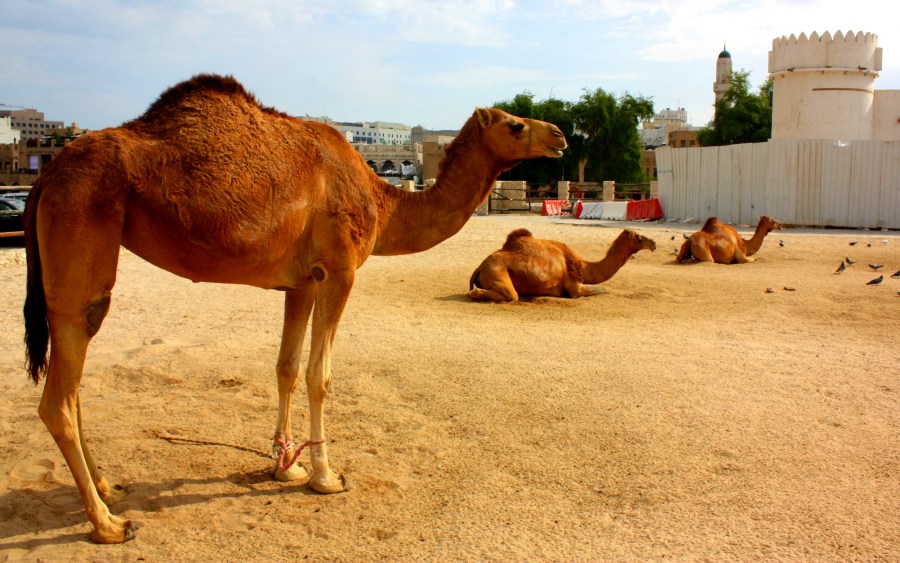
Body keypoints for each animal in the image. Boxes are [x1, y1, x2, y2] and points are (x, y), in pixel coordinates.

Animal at [22, 73, 567, 543]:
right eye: (514, 124)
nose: (560, 135)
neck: (381, 199)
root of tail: (45, 174)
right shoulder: (341, 270)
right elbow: (319, 375)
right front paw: (326, 475)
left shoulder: (302, 282)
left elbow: (285, 366)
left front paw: (286, 465)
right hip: (81, 236)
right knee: (57, 396)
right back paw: (107, 524)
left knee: (74, 385)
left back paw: (109, 490)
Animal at [467, 228, 656, 302]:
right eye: (639, 237)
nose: (653, 243)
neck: (584, 266)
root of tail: (479, 267)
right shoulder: (575, 289)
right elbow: (602, 289)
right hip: (497, 271)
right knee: (511, 295)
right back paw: (476, 293)